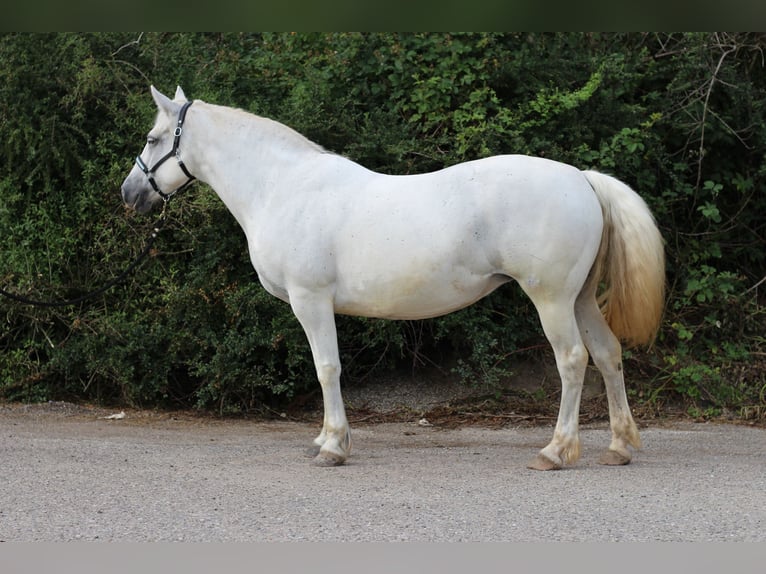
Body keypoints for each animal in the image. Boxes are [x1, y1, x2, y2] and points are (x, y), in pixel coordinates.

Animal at [121, 86, 664, 472]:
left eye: (152, 138)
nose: (129, 193)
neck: (283, 188)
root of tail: (582, 178)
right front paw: (326, 438)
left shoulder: (310, 300)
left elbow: (327, 369)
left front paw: (333, 446)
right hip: (581, 298)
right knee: (608, 354)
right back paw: (618, 447)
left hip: (551, 299)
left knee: (572, 361)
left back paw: (555, 451)